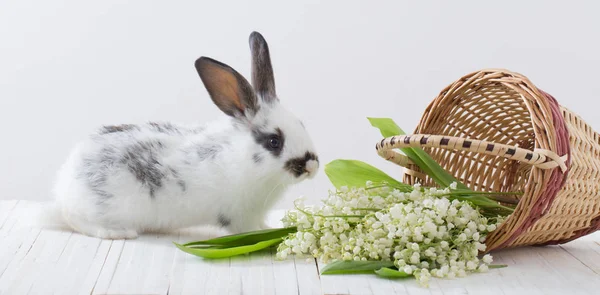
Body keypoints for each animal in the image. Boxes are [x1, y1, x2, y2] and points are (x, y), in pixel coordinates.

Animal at [49, 31, 322, 240]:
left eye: (301, 124)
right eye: (274, 141)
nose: (312, 165)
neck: (243, 158)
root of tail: (63, 187)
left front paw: (270, 228)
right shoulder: (240, 215)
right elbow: (245, 230)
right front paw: (261, 235)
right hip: (96, 209)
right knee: (79, 222)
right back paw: (119, 233)